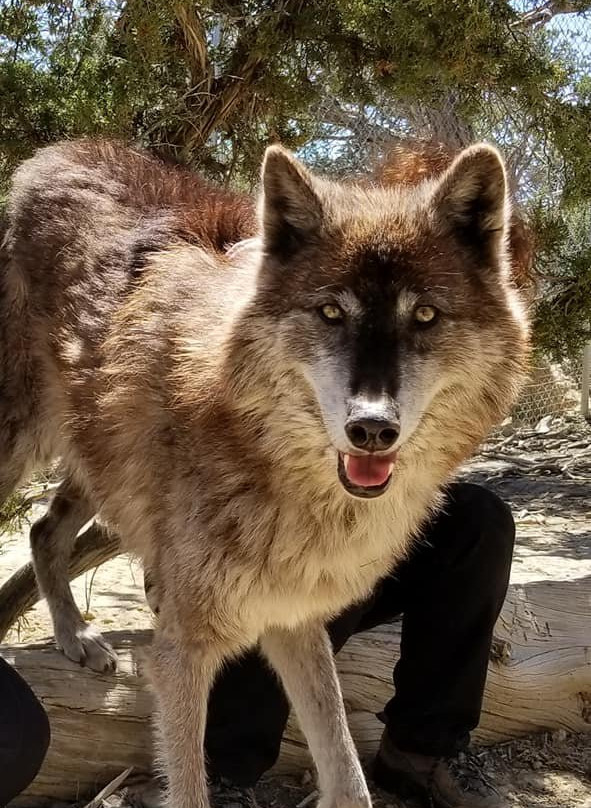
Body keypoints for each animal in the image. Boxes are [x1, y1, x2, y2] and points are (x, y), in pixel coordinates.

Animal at [0, 138, 529, 808]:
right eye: (330, 312)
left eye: (427, 316)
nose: (371, 427)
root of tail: (53, 154)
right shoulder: (182, 649)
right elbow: (190, 785)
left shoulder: (293, 617)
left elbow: (349, 779)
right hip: (26, 444)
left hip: (98, 460)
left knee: (45, 530)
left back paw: (74, 637)